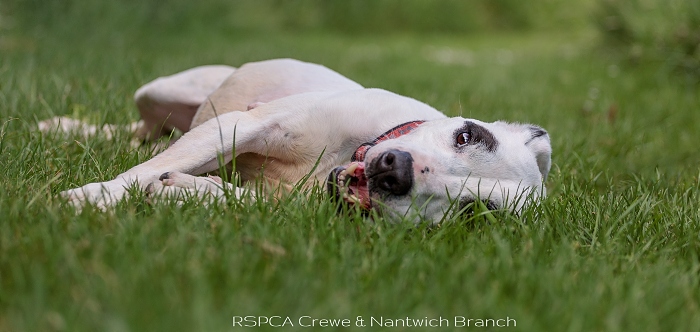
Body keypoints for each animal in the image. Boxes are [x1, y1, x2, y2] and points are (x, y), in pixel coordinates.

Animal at [39, 58, 552, 224]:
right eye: (468, 136)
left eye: (473, 212)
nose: (396, 172)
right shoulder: (246, 124)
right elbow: (137, 176)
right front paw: (89, 197)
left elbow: (240, 199)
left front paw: (189, 191)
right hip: (162, 93)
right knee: (140, 132)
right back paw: (64, 127)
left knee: (147, 140)